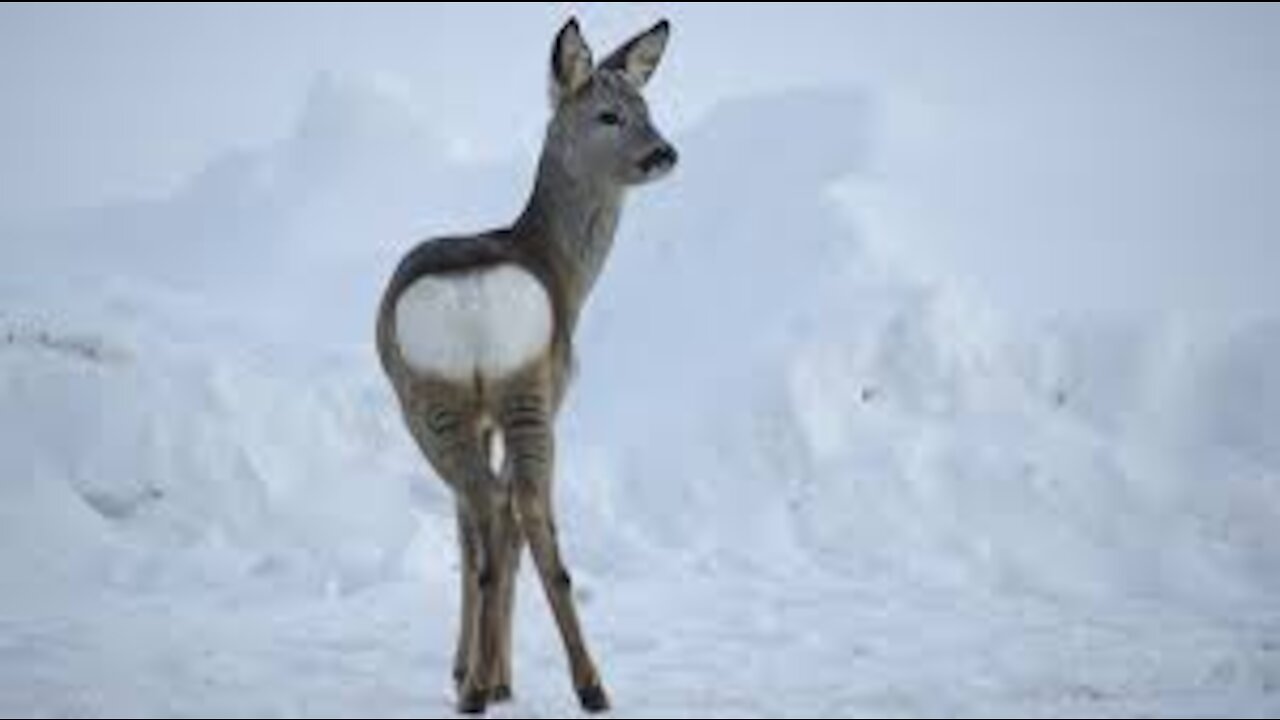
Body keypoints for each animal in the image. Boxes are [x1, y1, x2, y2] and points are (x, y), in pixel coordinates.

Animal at [373, 16, 675, 712]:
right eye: (610, 115)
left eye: (648, 108)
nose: (664, 153)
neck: (561, 269)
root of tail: (474, 299)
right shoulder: (537, 394)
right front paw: (488, 671)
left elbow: (472, 532)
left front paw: (474, 669)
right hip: (519, 387)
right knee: (520, 507)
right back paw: (573, 686)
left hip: (442, 398)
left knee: (490, 507)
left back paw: (496, 688)